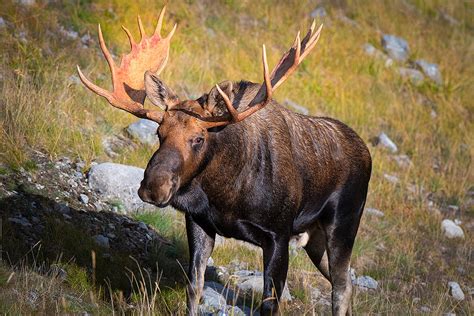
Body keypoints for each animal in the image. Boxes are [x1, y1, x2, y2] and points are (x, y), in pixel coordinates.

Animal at [78, 5, 372, 316]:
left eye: (199, 138)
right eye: (159, 132)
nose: (154, 187)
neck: (227, 193)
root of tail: (366, 151)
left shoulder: (278, 234)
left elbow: (269, 304)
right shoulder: (199, 221)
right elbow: (193, 288)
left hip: (343, 224)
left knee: (341, 287)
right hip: (313, 238)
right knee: (346, 284)